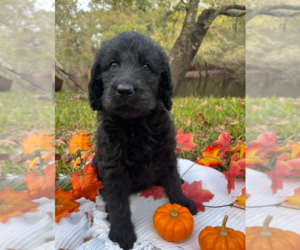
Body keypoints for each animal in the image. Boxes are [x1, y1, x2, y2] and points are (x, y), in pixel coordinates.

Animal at [89, 32, 197, 249]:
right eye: (112, 64)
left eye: (146, 66)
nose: (124, 90)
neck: (135, 125)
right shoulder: (112, 167)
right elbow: (117, 202)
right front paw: (121, 233)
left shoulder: (166, 154)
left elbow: (172, 181)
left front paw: (181, 203)